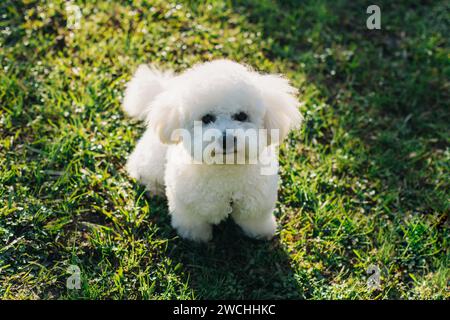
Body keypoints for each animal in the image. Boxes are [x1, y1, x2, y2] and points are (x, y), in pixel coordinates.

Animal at [122, 58, 302, 241]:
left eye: (242, 116)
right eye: (207, 118)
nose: (226, 139)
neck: (226, 169)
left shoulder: (258, 203)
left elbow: (256, 220)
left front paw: (262, 234)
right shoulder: (188, 207)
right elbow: (194, 225)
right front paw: (197, 239)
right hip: (152, 160)